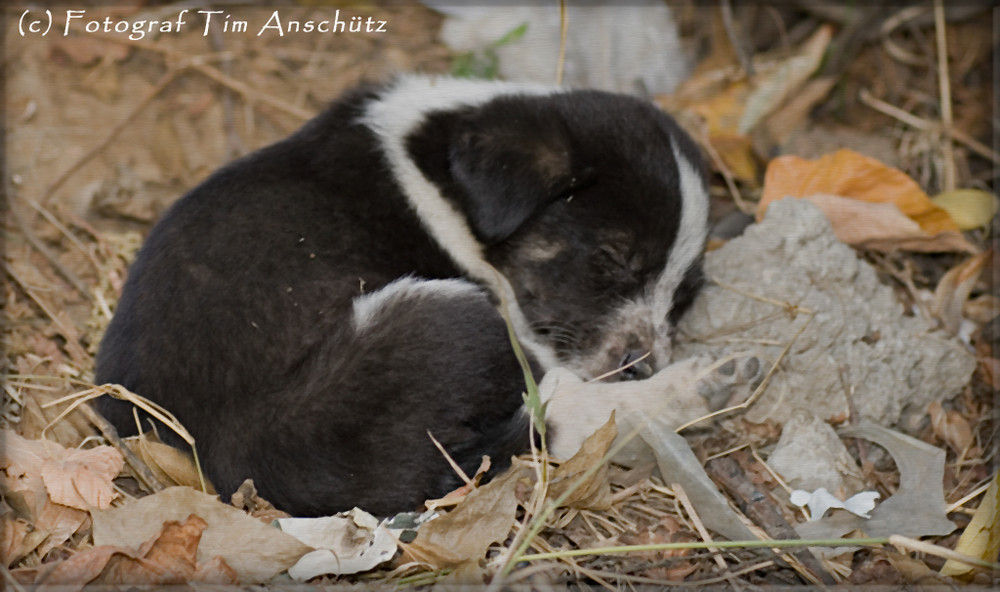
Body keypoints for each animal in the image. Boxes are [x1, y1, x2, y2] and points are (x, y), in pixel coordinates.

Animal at [95, 75, 752, 520]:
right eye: (612, 259)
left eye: (683, 297)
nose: (643, 362)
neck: (446, 173)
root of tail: (238, 458)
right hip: (453, 319)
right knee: (561, 410)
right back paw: (699, 386)